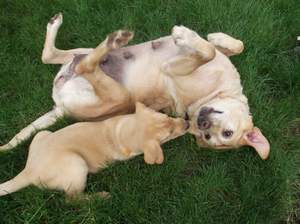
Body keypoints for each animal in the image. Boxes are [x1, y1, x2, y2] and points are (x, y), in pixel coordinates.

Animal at [0, 102, 188, 198]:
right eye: (170, 134)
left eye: (167, 118)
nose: (187, 123)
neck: (122, 130)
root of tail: (28, 171)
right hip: (76, 165)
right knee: (73, 199)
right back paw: (101, 196)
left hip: (42, 134)